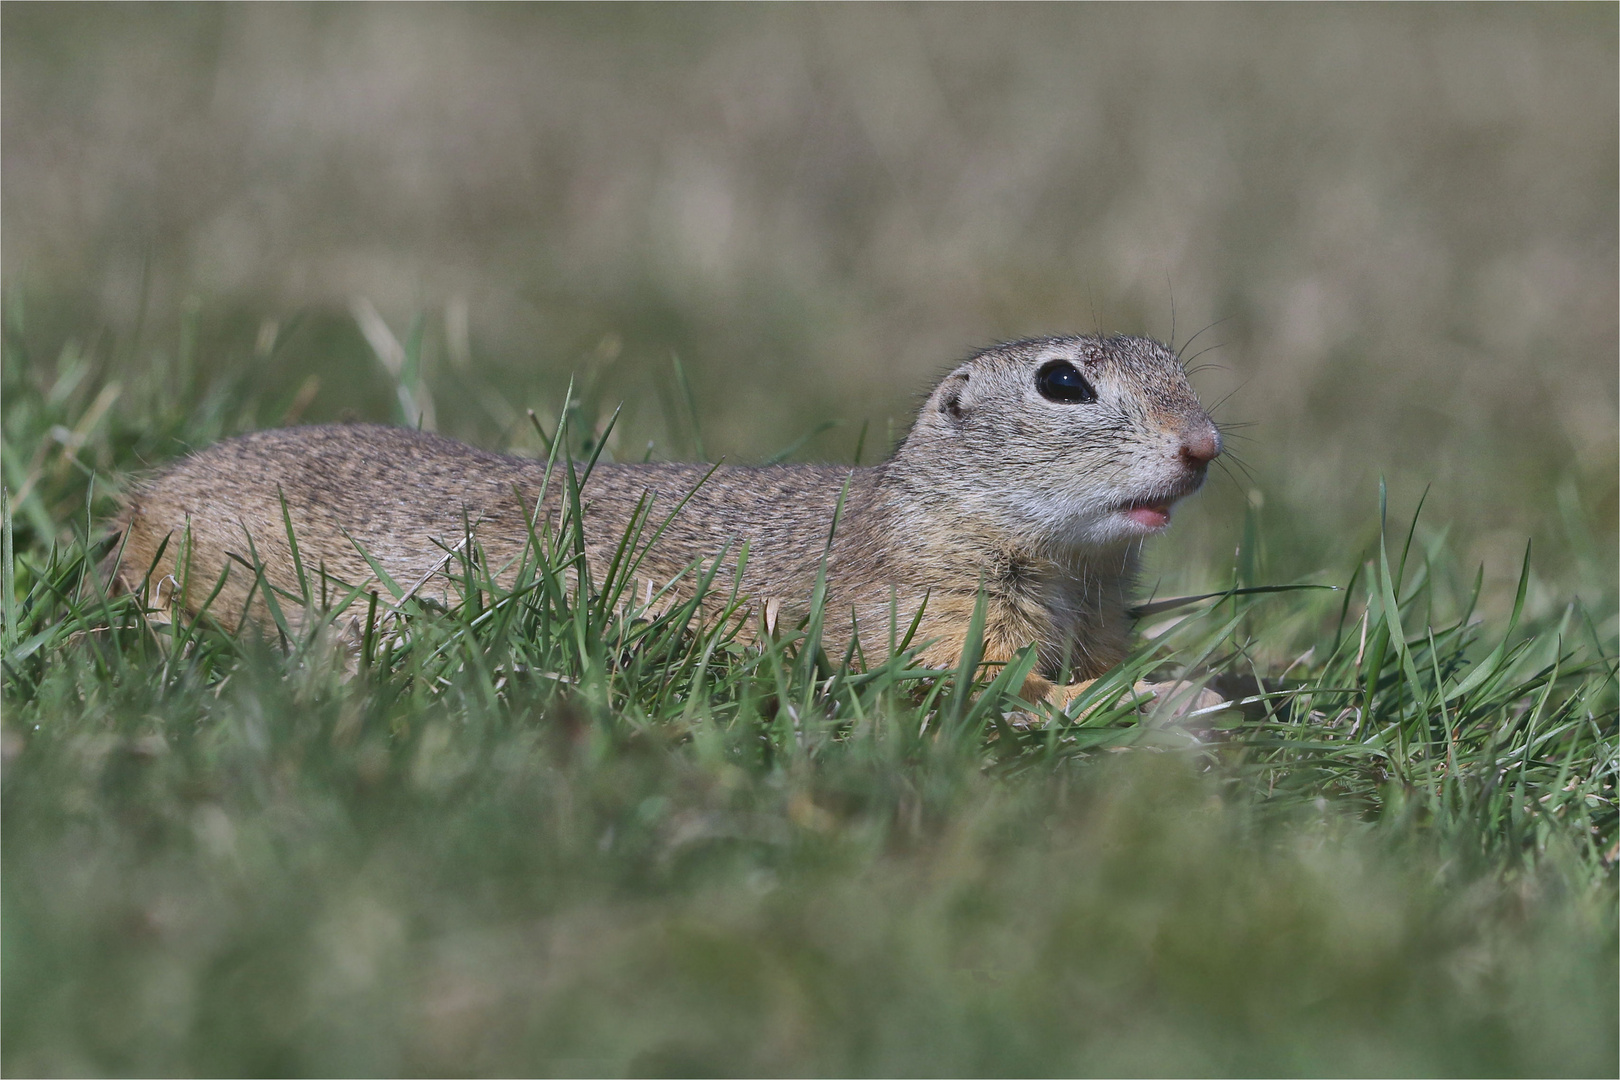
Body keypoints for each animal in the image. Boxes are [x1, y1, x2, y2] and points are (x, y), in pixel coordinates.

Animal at [110, 335, 1218, 709]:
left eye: (1177, 363)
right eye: (1063, 382)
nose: (1205, 444)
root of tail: (145, 500)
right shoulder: (928, 612)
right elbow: (989, 684)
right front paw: (1156, 698)